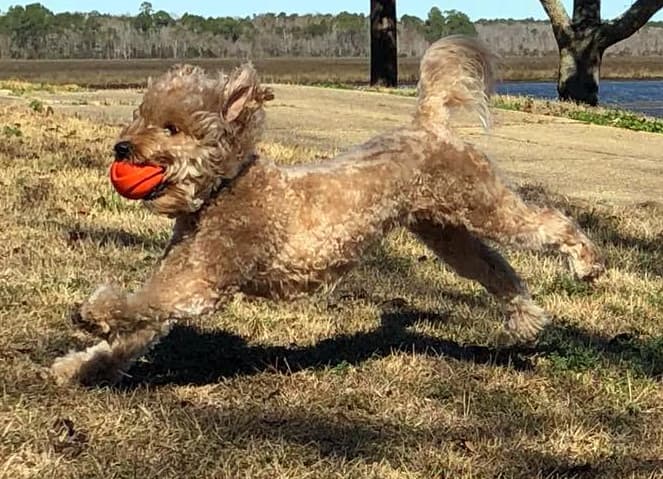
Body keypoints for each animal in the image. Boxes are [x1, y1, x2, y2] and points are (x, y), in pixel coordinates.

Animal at [50, 36, 608, 386]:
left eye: (171, 128)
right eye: (140, 116)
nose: (122, 148)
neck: (223, 191)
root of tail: (428, 125)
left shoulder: (202, 279)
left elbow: (143, 303)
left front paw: (94, 313)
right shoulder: (183, 273)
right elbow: (138, 330)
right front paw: (81, 369)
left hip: (482, 204)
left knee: (549, 223)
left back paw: (587, 263)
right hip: (447, 232)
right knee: (497, 269)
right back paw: (526, 320)